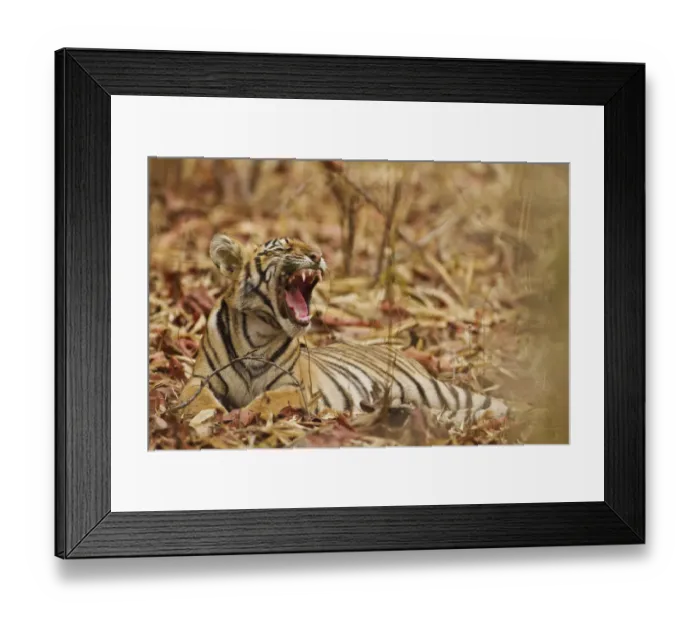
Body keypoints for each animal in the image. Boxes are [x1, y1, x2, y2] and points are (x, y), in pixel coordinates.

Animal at [177, 234, 509, 426]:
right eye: (283, 247)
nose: (317, 255)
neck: (258, 333)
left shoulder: (296, 388)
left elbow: (268, 399)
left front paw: (241, 413)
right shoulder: (200, 378)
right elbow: (196, 397)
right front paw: (208, 414)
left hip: (433, 388)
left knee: (492, 403)